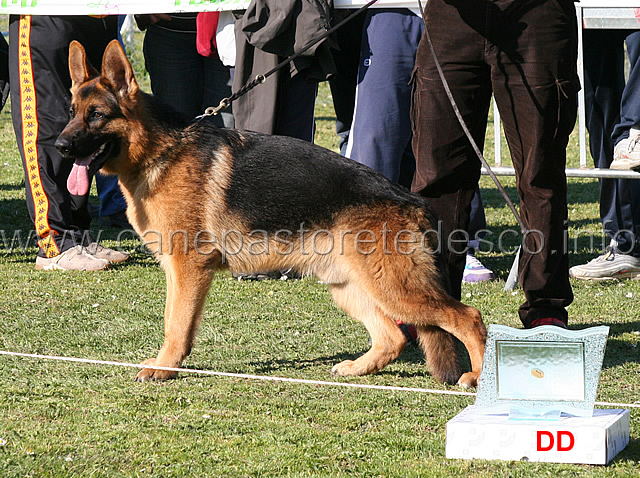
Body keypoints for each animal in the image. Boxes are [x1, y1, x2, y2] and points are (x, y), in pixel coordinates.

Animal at [57, 40, 488, 384]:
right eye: (72, 111)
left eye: (97, 115)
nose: (59, 146)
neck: (160, 151)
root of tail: (413, 201)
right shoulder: (177, 270)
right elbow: (171, 320)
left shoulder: (189, 267)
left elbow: (176, 325)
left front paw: (164, 368)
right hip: (350, 287)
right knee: (394, 337)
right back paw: (356, 369)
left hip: (396, 290)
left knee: (469, 317)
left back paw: (478, 379)